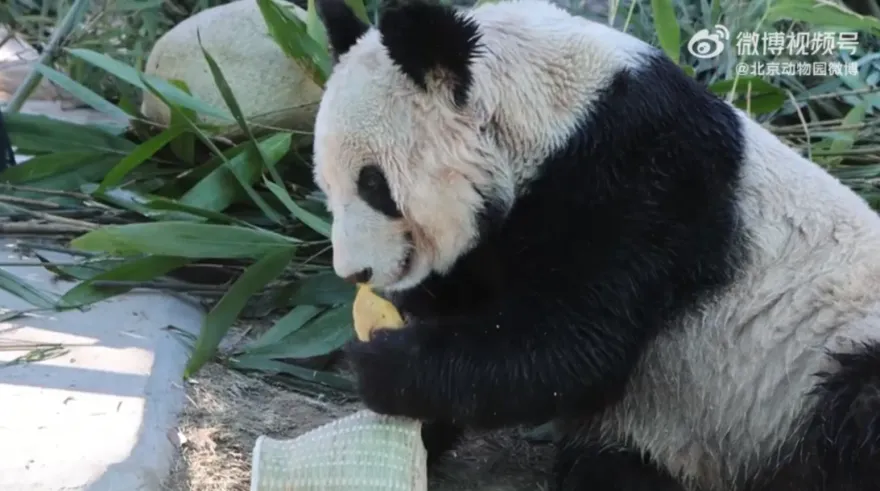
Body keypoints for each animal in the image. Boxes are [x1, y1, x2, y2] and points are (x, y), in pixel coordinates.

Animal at [308, 0, 880, 490]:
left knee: (856, 406)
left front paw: (379, 363)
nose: (354, 272)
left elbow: (574, 342)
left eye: (374, 185)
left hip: (819, 359)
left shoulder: (644, 174)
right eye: (327, 186)